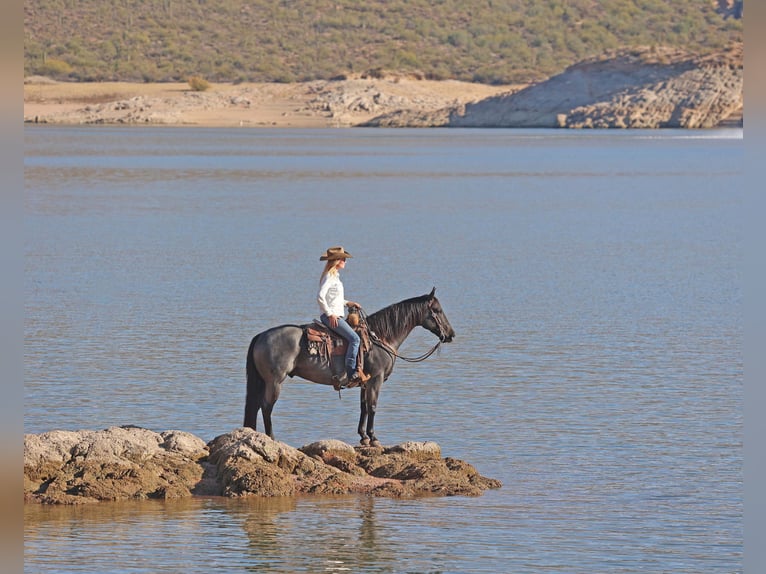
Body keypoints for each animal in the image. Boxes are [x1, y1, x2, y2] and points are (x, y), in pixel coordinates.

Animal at [243, 290, 452, 448]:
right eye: (437, 310)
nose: (451, 334)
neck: (380, 337)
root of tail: (261, 336)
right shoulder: (376, 380)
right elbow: (373, 406)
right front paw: (373, 438)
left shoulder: (365, 382)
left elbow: (364, 407)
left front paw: (363, 437)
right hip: (275, 381)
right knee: (267, 407)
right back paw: (272, 438)